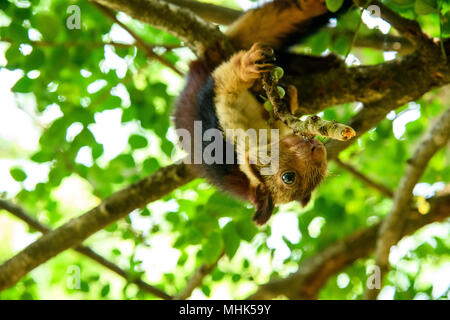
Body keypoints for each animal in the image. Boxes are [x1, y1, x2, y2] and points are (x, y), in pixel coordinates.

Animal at [174, 0, 354, 225]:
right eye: (288, 177)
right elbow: (227, 83)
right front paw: (247, 67)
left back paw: (326, 61)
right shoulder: (224, 118)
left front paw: (288, 99)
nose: (318, 150)